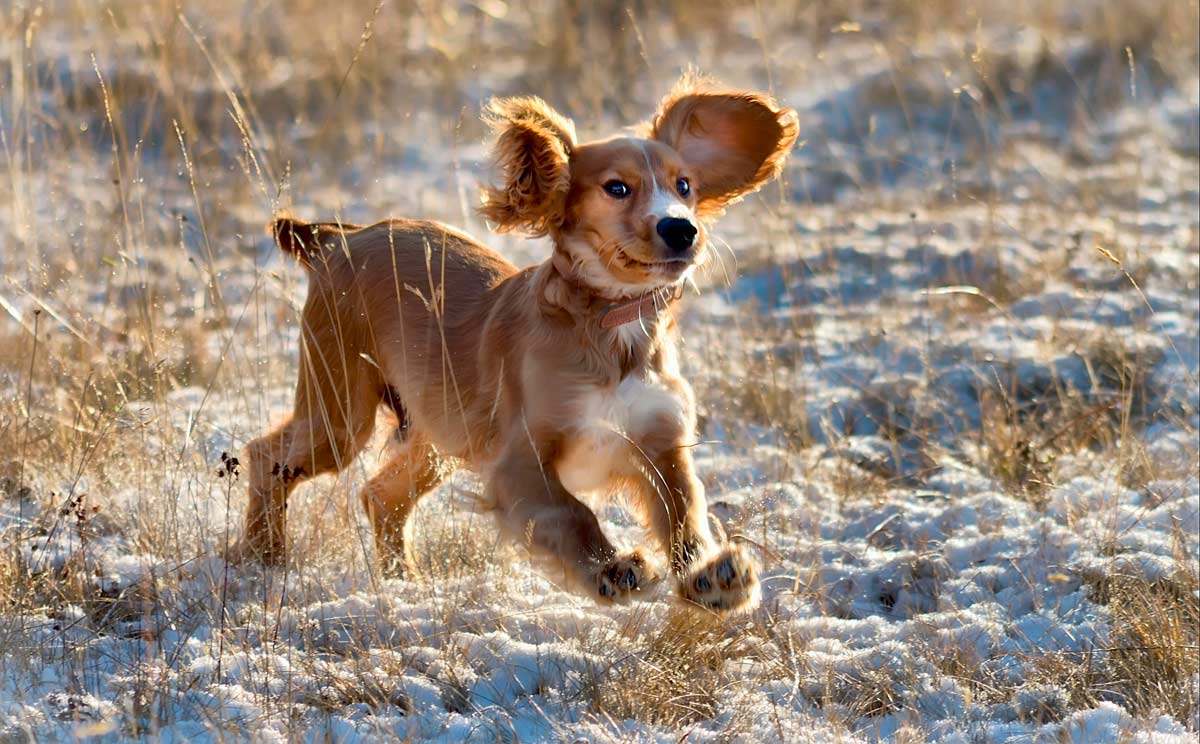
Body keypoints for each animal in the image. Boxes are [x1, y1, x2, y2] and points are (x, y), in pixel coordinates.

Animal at [230, 72, 801, 614]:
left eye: (684, 186)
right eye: (617, 188)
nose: (681, 230)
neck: (609, 327)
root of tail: (338, 238)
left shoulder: (662, 444)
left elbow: (686, 516)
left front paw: (713, 578)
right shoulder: (520, 458)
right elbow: (572, 514)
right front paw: (612, 570)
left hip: (438, 435)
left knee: (381, 495)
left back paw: (401, 581)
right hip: (341, 411)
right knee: (268, 456)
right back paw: (264, 557)